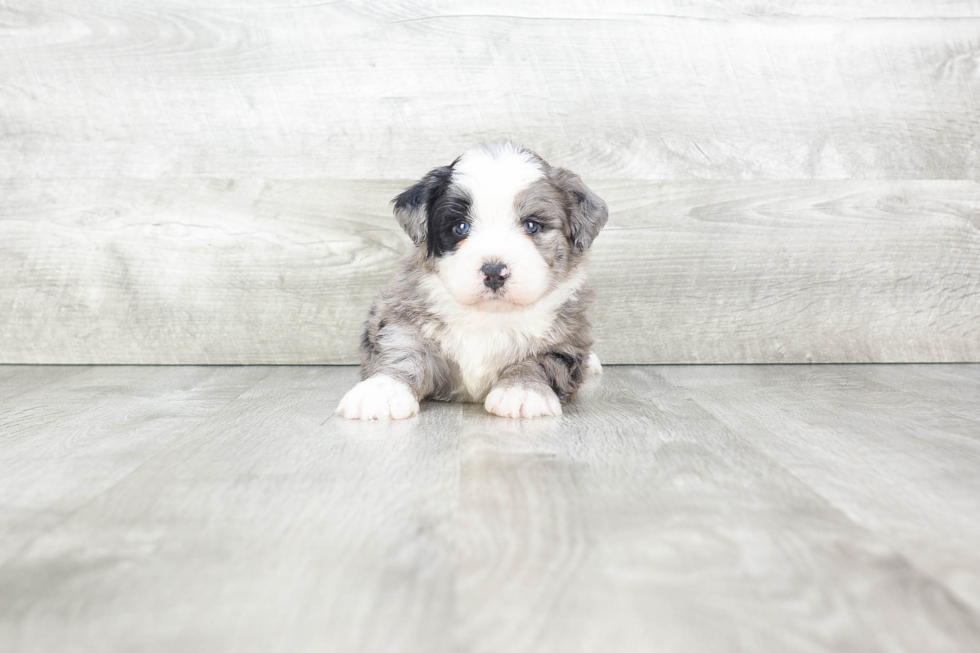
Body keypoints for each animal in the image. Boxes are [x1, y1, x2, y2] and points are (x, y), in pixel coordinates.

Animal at [340, 141, 608, 420]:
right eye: (461, 227)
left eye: (532, 225)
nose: (494, 272)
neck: (488, 316)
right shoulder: (405, 317)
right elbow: (403, 351)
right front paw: (382, 390)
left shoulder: (564, 342)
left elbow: (539, 361)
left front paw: (522, 390)